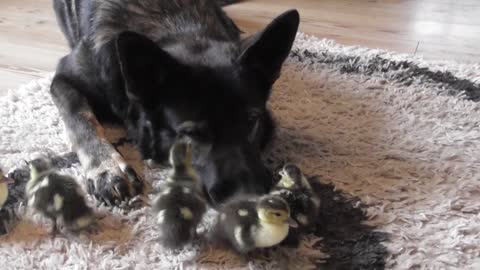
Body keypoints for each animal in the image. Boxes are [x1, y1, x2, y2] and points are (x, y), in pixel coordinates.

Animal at [48, 0, 296, 205]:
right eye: (191, 134)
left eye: (252, 120)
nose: (248, 200)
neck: (177, 25)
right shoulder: (64, 78)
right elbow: (81, 119)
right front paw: (107, 168)